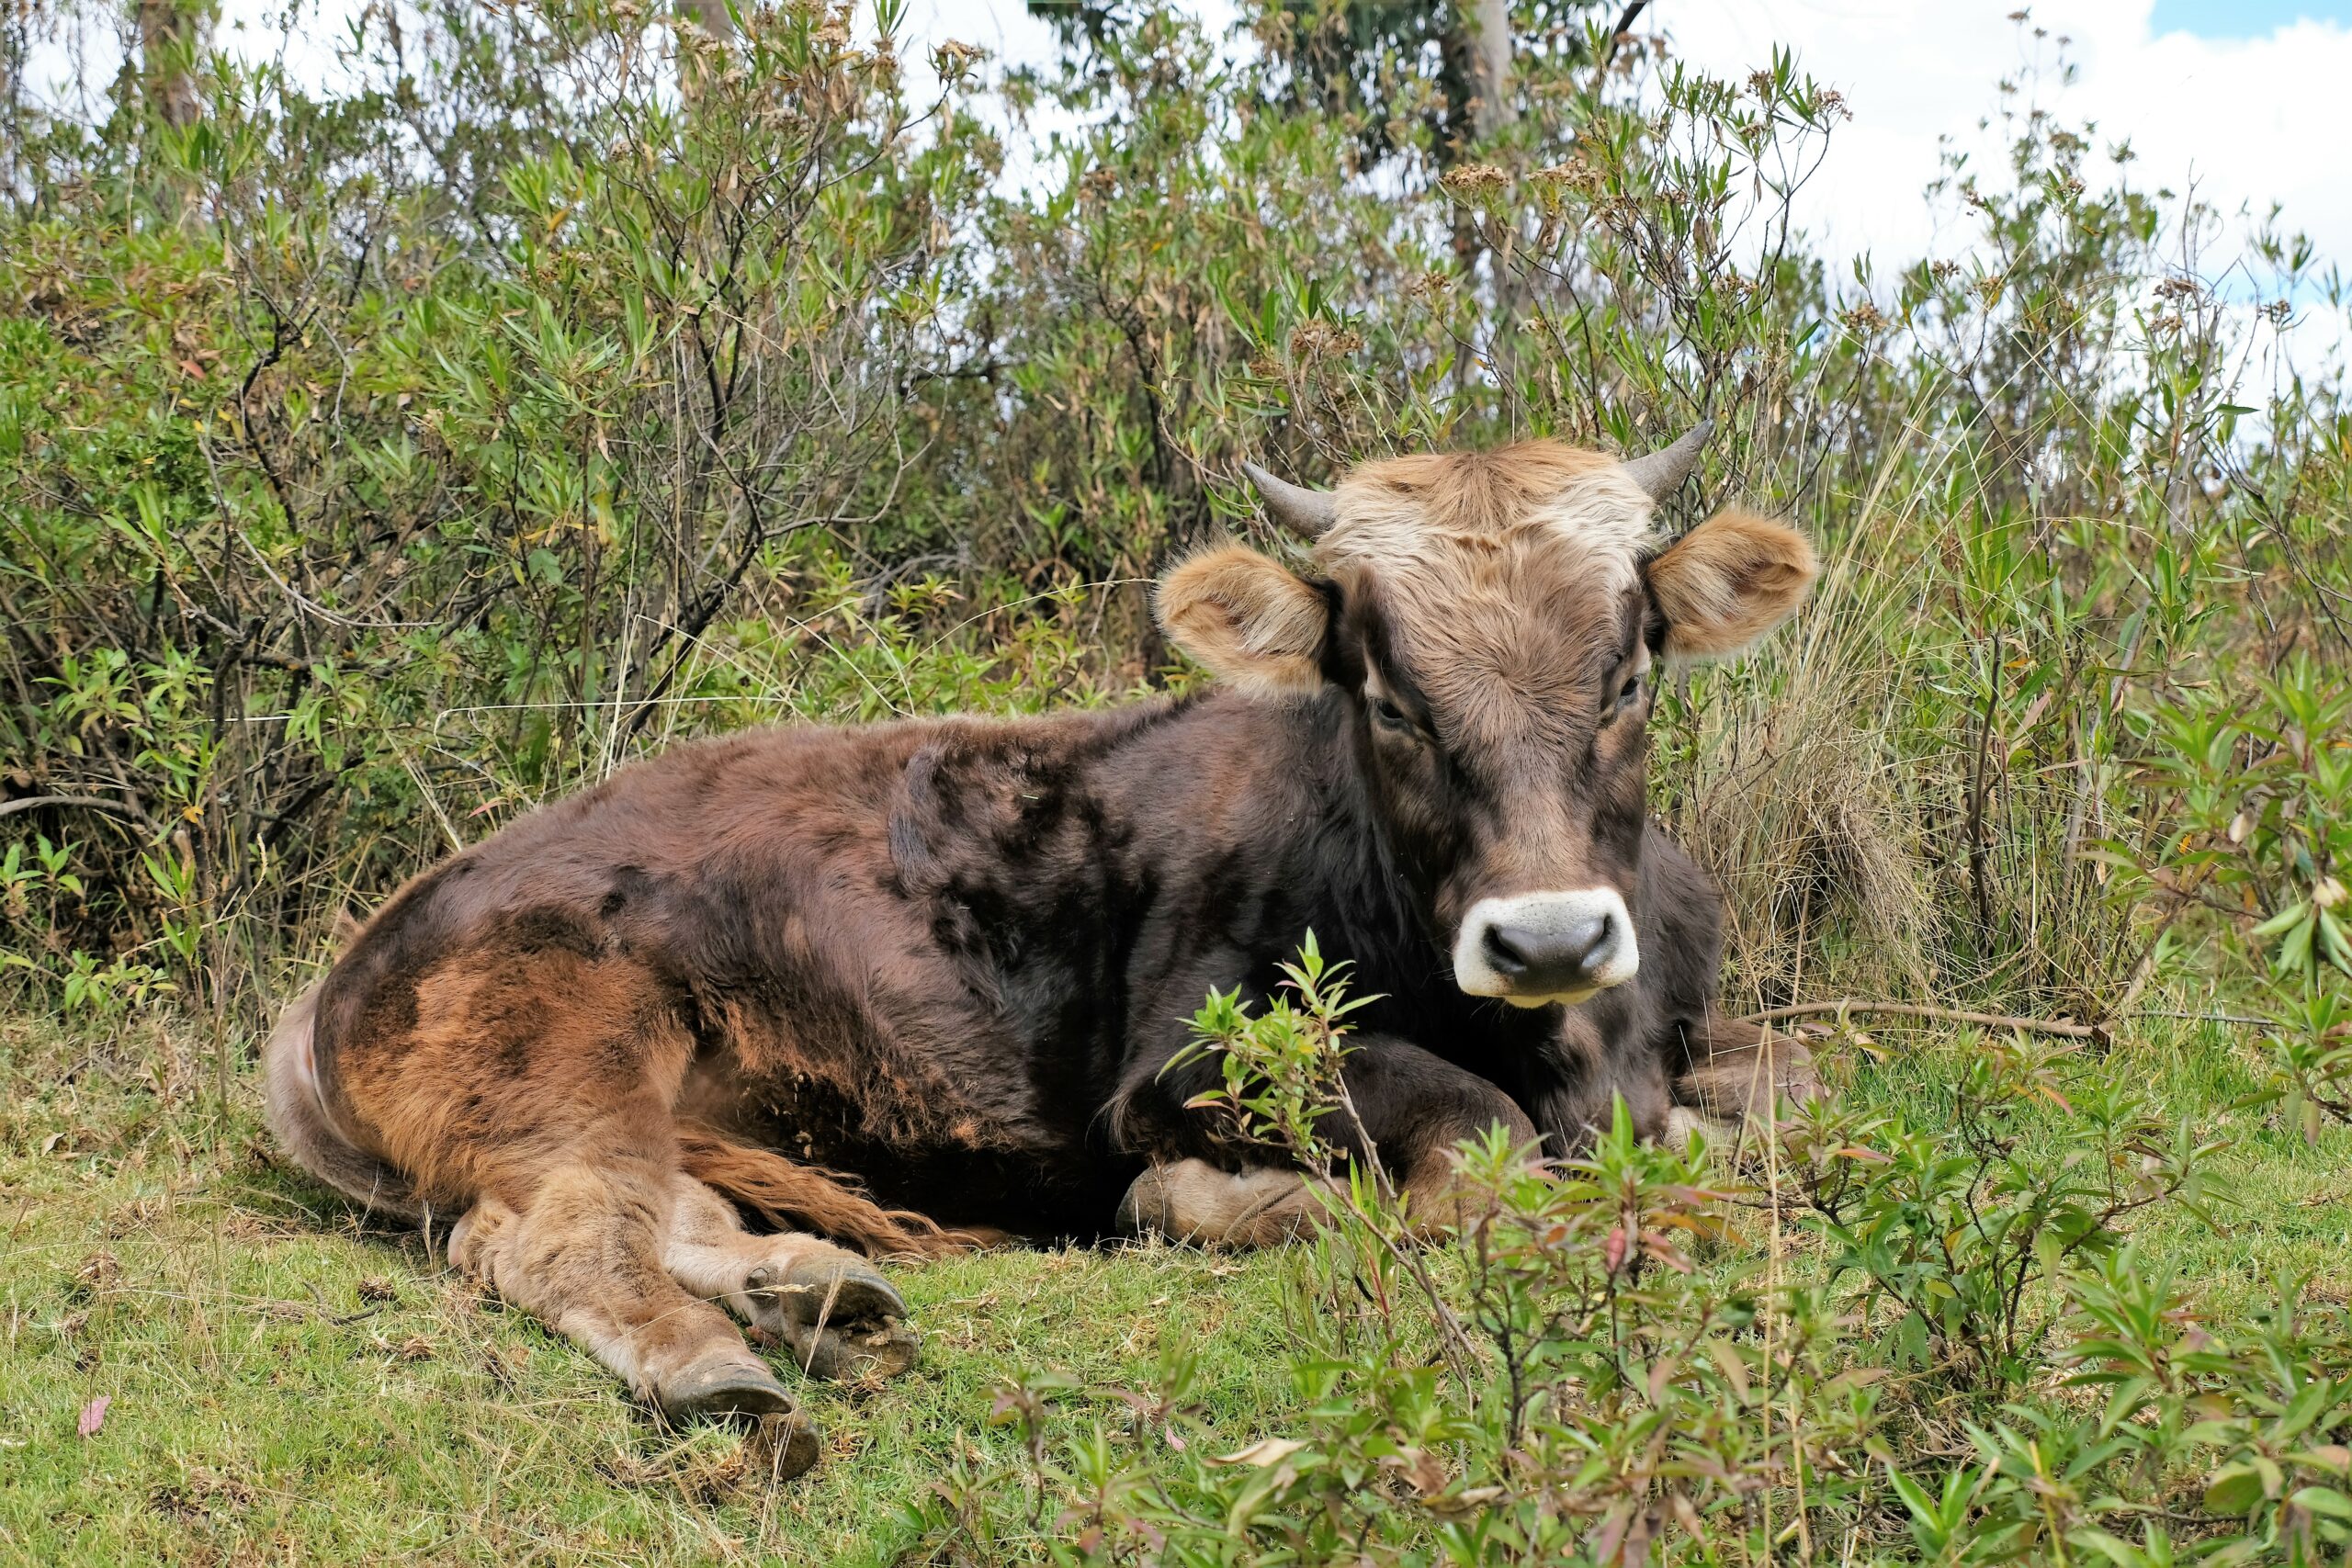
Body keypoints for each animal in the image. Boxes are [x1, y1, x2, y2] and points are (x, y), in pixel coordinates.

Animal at [266, 423, 1825, 1466]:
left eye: (1629, 677)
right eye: (1387, 696)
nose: (1548, 932)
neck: (1574, 1046)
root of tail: (372, 937)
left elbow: (1786, 1097)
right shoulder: (1183, 1063)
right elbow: (1472, 1136)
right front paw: (1227, 1203)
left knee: (667, 1211)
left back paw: (816, 1294)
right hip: (570, 1049)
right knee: (550, 1236)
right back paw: (718, 1362)